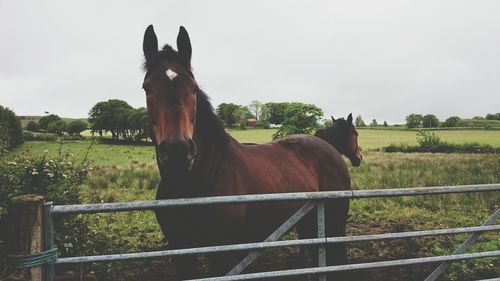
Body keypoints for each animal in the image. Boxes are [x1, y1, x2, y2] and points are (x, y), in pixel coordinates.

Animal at [142, 25, 352, 278]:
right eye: (147, 87)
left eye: (193, 87)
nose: (177, 152)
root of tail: (330, 150)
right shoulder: (180, 250)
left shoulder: (222, 251)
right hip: (309, 223)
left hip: (335, 222)